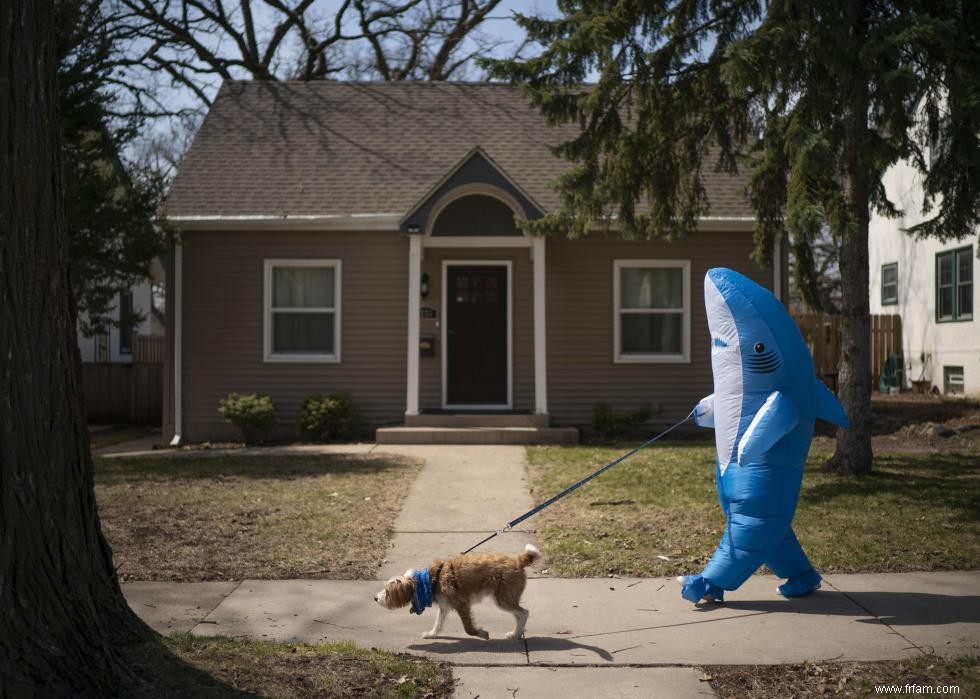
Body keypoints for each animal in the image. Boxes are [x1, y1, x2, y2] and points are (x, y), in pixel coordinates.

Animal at [376, 548, 544, 640]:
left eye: (387, 591)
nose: (375, 598)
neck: (431, 579)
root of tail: (517, 560)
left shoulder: (462, 604)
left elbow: (468, 628)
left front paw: (481, 633)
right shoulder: (444, 606)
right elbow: (438, 623)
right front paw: (431, 634)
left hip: (503, 599)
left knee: (523, 613)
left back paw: (516, 634)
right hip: (506, 598)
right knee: (519, 615)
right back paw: (516, 633)